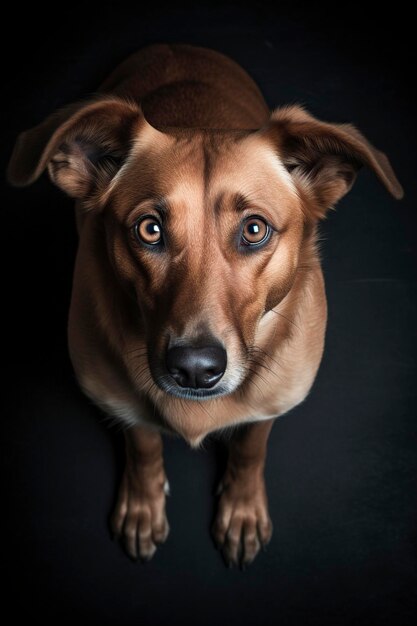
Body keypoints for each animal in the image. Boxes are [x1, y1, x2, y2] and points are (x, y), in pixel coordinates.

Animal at [8, 42, 402, 564]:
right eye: (149, 229)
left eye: (254, 230)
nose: (194, 370)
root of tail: (178, 46)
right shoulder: (121, 404)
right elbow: (143, 445)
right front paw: (143, 503)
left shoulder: (271, 404)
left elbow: (252, 447)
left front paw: (242, 509)